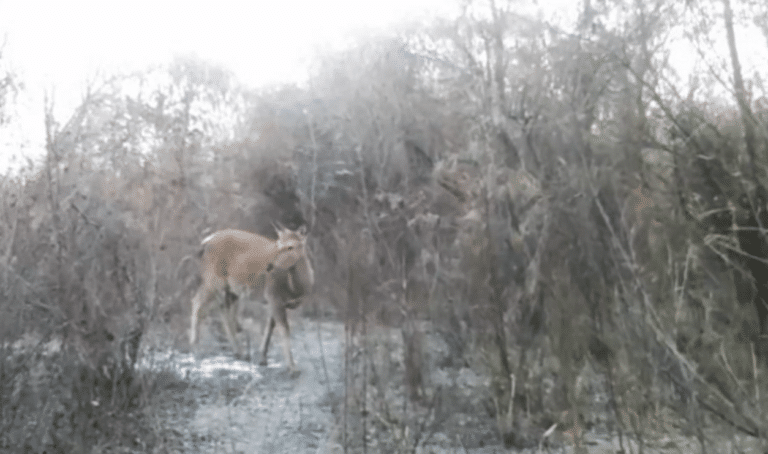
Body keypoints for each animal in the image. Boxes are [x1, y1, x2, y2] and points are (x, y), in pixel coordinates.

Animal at [190, 225, 314, 370]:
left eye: (291, 246)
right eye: (278, 244)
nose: (270, 266)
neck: (295, 289)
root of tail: (205, 242)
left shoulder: (276, 301)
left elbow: (270, 327)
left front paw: (263, 358)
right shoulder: (273, 296)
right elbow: (284, 330)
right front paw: (293, 368)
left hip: (232, 289)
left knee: (223, 310)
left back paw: (238, 351)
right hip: (214, 279)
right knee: (198, 302)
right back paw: (196, 347)